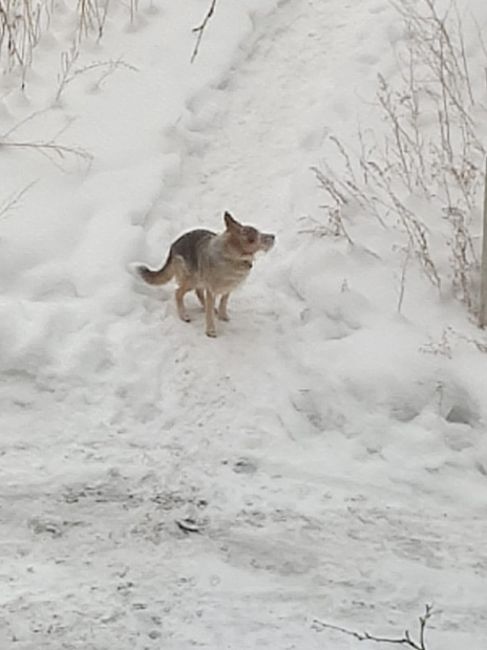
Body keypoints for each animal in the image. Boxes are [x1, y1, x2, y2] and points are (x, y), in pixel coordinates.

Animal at [135, 211, 276, 336]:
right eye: (254, 238)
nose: (273, 236)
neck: (233, 257)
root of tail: (173, 247)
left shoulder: (228, 287)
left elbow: (223, 302)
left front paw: (222, 316)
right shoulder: (212, 288)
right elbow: (209, 312)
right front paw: (211, 331)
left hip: (199, 279)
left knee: (198, 293)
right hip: (192, 279)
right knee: (178, 293)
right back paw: (184, 315)